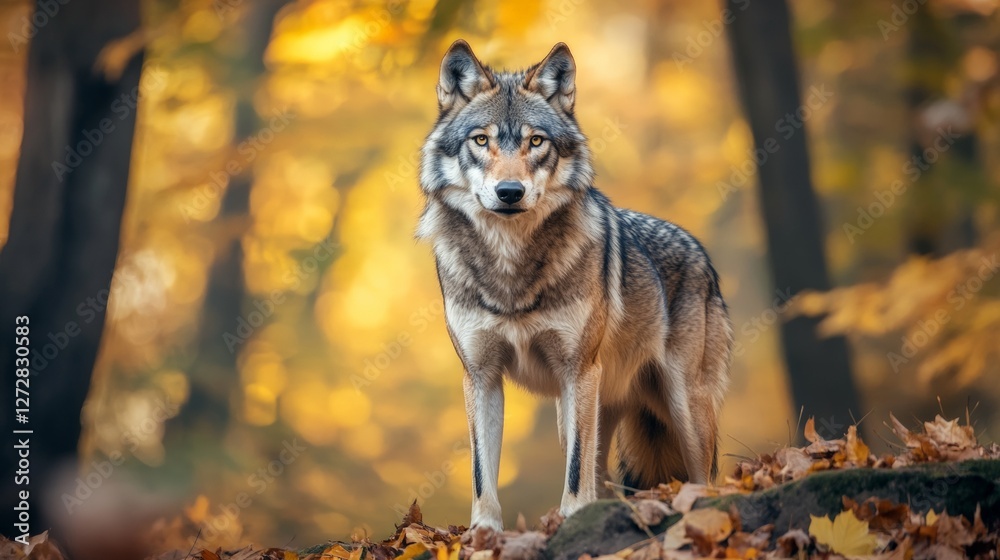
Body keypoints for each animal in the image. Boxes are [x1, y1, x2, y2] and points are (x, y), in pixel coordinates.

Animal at [417, 40, 733, 531]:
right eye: (481, 140)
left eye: (536, 141)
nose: (510, 192)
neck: (511, 267)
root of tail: (700, 251)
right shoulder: (481, 377)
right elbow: (481, 471)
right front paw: (483, 533)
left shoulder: (577, 370)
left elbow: (575, 468)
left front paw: (569, 520)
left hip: (683, 406)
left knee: (706, 478)